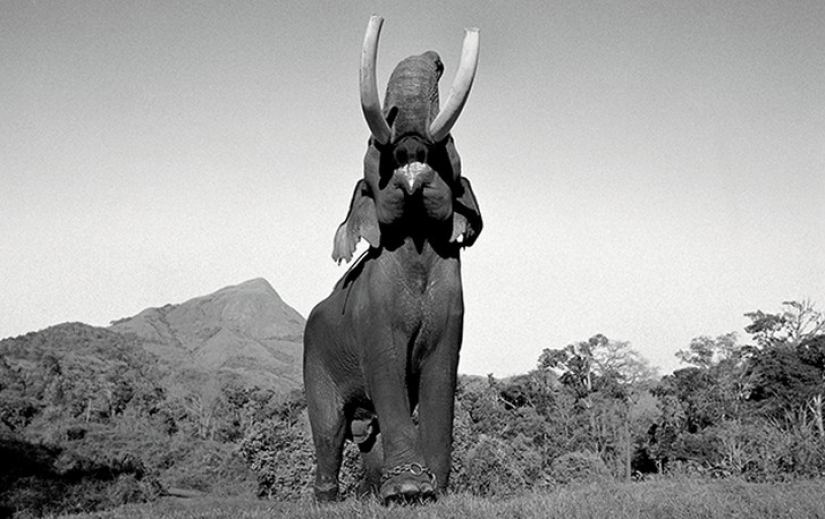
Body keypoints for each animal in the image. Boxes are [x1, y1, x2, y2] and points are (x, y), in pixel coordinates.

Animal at [303, 16, 482, 504]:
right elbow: (385, 365)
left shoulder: (455, 311)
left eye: (450, 141)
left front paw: (433, 490)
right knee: (329, 430)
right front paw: (408, 489)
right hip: (314, 359)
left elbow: (442, 371)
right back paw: (330, 501)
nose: (436, 58)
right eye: (371, 140)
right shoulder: (371, 312)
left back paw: (371, 495)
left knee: (367, 433)